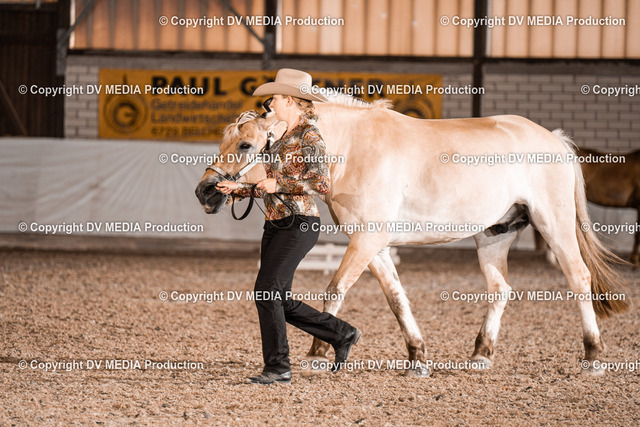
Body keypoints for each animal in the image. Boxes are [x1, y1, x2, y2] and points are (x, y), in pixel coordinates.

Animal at [195, 95, 628, 376]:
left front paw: (318, 354)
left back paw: (593, 356)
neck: (352, 149)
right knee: (500, 289)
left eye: (246, 143)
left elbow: (335, 289)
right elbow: (396, 299)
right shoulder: (375, 246)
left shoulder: (366, 241)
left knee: (578, 277)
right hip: (494, 234)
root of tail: (556, 139)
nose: (205, 191)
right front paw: (417, 358)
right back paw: (480, 356)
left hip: (554, 222)